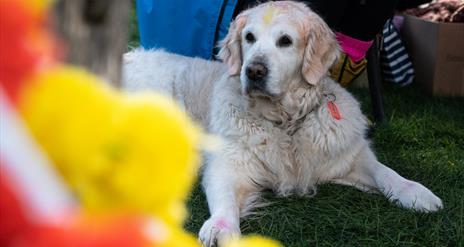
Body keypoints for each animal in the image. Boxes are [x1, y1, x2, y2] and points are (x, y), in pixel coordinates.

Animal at [122, 0, 442, 246]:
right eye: (249, 37)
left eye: (285, 41)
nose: (253, 71)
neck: (285, 122)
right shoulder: (228, 164)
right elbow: (223, 197)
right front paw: (220, 227)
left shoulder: (348, 157)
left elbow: (386, 172)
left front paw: (417, 193)